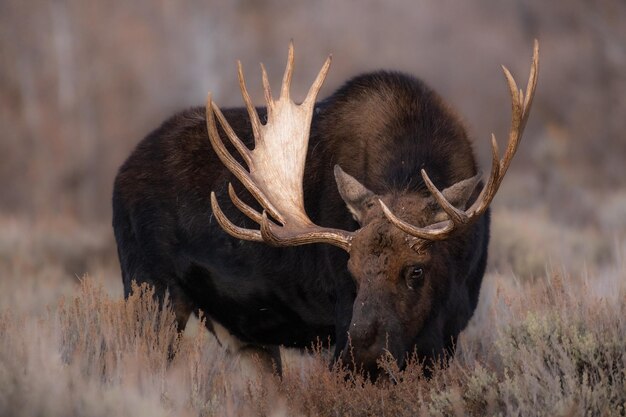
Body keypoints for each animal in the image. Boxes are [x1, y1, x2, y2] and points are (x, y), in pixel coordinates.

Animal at [111, 41, 536, 376]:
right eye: (351, 270)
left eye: (416, 270)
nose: (360, 352)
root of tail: (119, 176)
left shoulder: (449, 333)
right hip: (151, 293)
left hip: (242, 336)